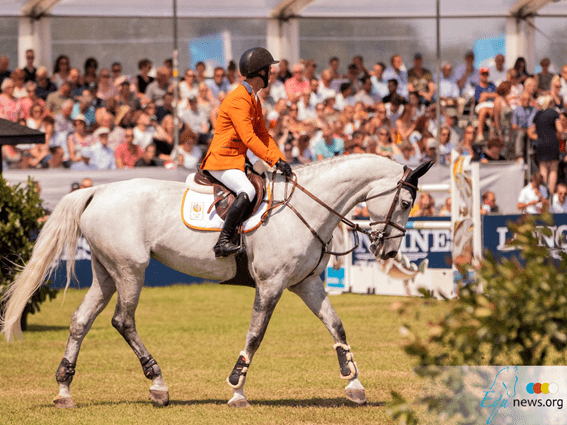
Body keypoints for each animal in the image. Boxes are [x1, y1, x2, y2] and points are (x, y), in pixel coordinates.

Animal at [2, 153, 432, 408]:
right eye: (406, 202)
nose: (388, 251)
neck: (307, 207)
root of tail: (100, 190)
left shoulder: (305, 284)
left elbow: (336, 326)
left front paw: (353, 383)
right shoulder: (272, 284)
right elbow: (255, 335)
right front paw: (237, 388)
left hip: (106, 273)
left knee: (81, 321)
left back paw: (64, 389)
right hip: (130, 270)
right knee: (123, 321)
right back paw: (158, 385)